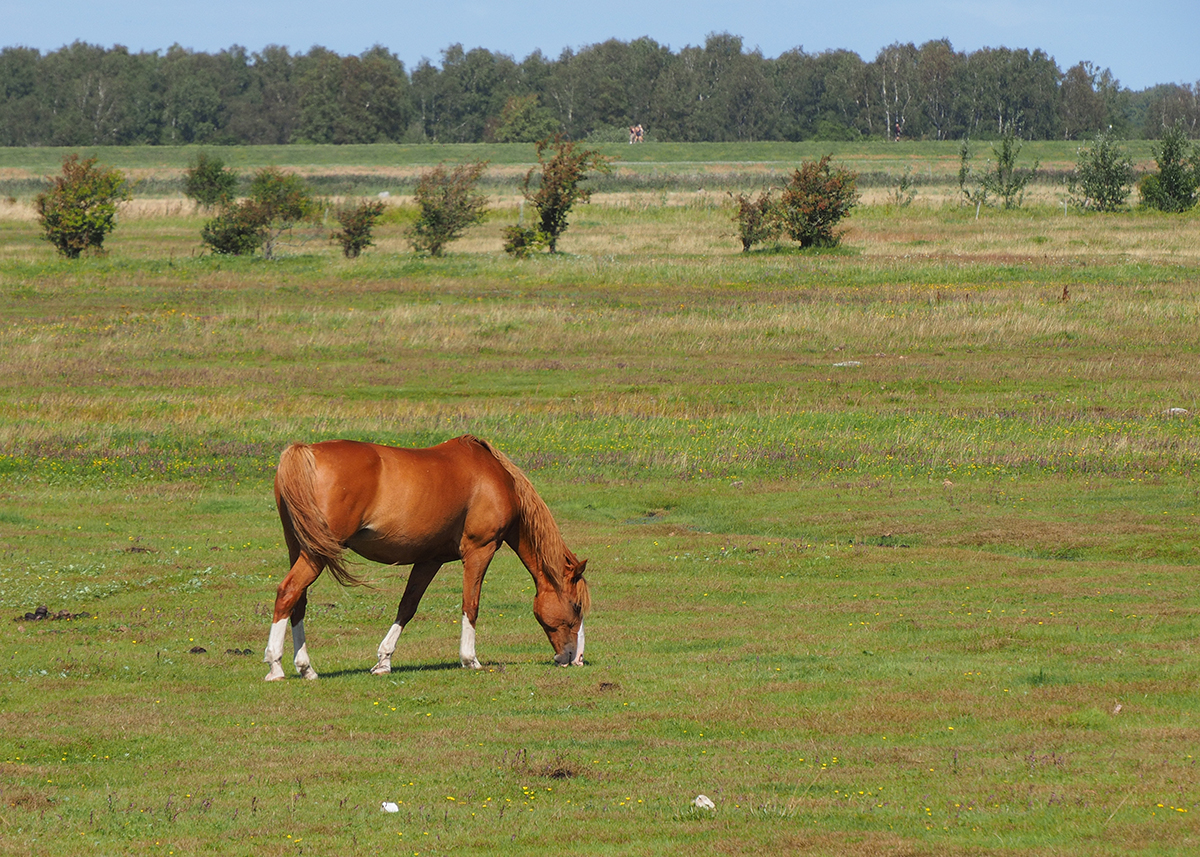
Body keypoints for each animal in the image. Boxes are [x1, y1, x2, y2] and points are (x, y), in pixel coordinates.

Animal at [268, 436, 595, 676]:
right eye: (576, 606)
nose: (575, 657)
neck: (494, 477)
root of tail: (305, 452)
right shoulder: (480, 550)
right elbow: (471, 605)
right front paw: (470, 659)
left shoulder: (429, 559)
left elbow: (407, 607)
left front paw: (384, 661)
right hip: (315, 554)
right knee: (288, 592)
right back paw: (277, 665)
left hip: (300, 548)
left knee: (298, 602)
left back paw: (306, 669)